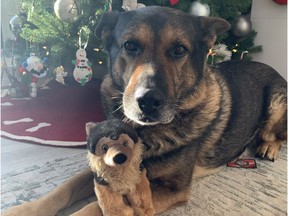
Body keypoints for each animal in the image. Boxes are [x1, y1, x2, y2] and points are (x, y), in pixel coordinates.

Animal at [3, 5, 286, 215]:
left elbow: (95, 207)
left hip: (277, 100)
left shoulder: (171, 189)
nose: (148, 101)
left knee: (277, 135)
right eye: (129, 46)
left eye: (179, 49)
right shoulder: (99, 168)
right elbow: (64, 189)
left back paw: (268, 147)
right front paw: (24, 209)